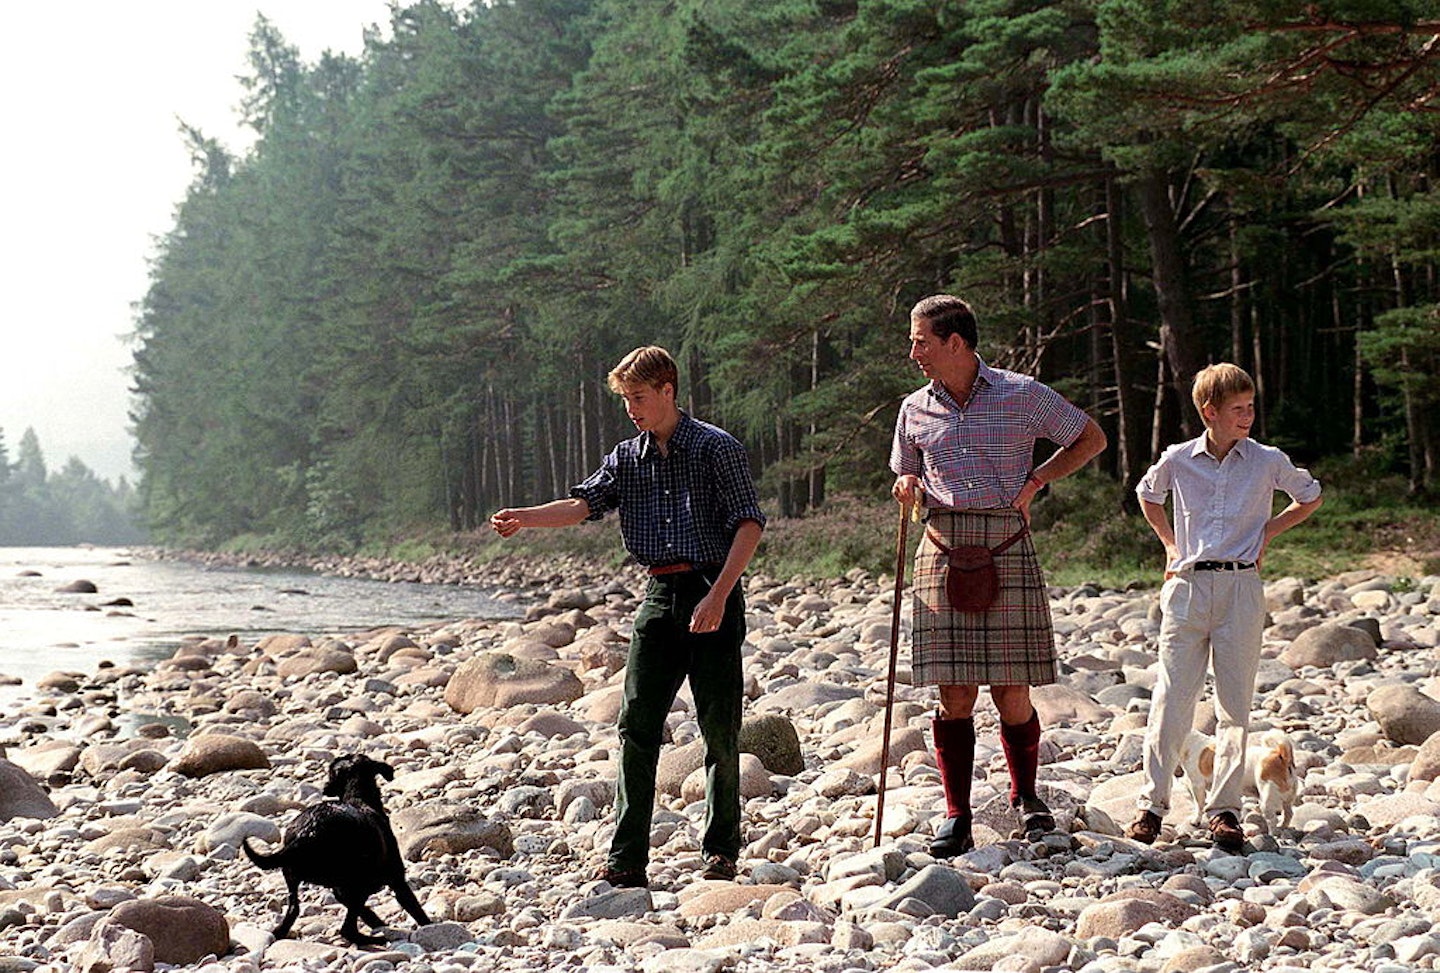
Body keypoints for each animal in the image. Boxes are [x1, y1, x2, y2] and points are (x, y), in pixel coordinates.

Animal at [241, 754, 429, 944]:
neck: (357, 797)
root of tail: (309, 829)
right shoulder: (396, 879)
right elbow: (415, 908)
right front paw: (428, 927)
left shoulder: (341, 889)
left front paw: (378, 922)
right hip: (358, 882)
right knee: (348, 929)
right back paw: (373, 940)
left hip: (292, 874)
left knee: (294, 908)